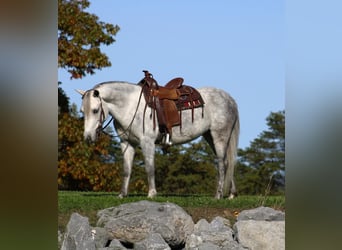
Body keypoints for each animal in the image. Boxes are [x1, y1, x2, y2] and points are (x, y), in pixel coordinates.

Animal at [77, 81, 240, 199]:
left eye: (95, 110)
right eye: (82, 111)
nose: (88, 137)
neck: (130, 107)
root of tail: (229, 99)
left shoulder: (147, 142)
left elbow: (150, 168)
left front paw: (152, 194)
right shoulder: (127, 143)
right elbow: (126, 170)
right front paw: (122, 194)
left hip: (219, 137)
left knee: (222, 164)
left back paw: (218, 195)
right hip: (210, 137)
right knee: (228, 162)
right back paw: (231, 194)